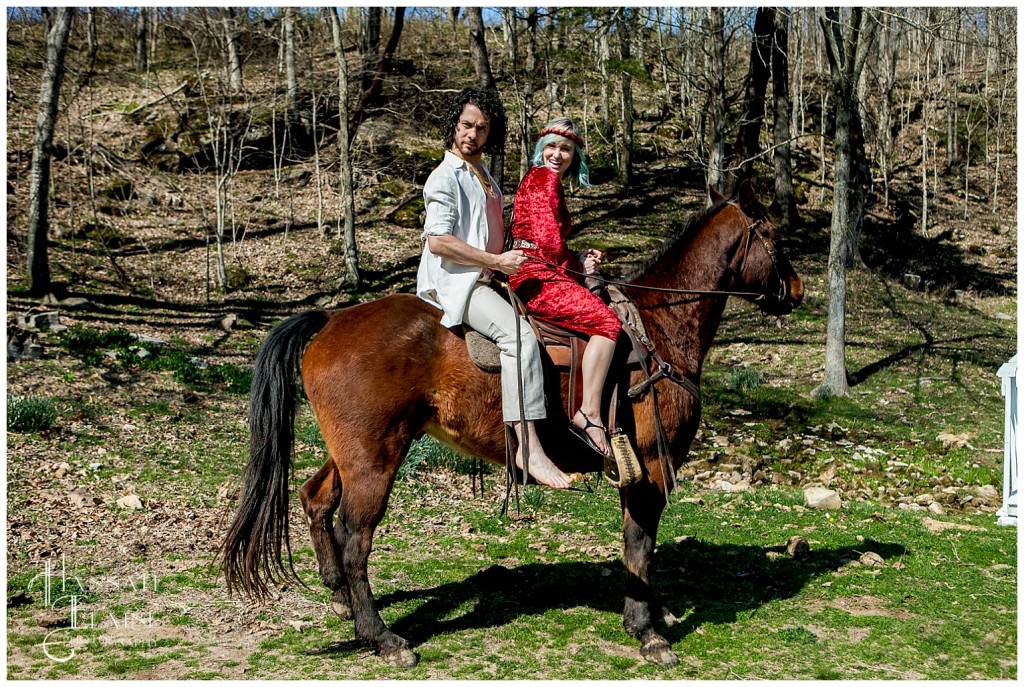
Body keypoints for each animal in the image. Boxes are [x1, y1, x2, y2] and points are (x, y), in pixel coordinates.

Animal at [224, 182, 806, 667]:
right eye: (776, 236)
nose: (798, 289)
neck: (658, 326)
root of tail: (332, 318)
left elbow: (638, 546)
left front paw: (651, 615)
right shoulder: (650, 467)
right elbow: (640, 544)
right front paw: (647, 630)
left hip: (356, 451)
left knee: (316, 499)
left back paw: (342, 598)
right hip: (374, 460)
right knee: (355, 537)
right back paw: (383, 637)